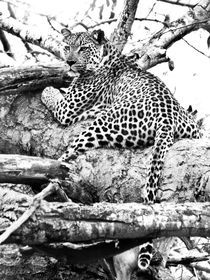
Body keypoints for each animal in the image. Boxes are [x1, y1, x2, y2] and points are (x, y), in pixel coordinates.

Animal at [40, 27, 200, 278]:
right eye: (67, 47)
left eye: (82, 48)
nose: (69, 61)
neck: (107, 54)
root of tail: (167, 118)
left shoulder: (67, 109)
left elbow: (50, 94)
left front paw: (47, 87)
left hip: (98, 126)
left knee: (68, 156)